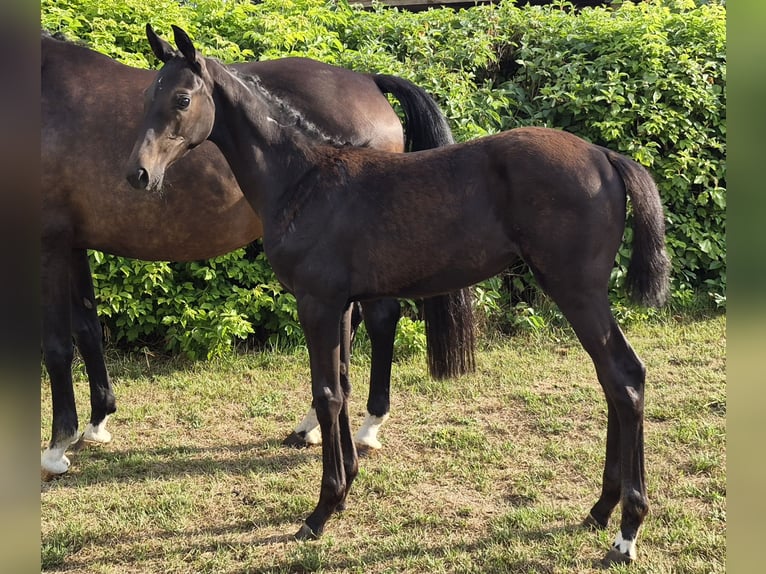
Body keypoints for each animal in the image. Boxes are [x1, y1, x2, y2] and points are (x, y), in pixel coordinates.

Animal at [40, 31, 475, 478]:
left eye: (182, 100)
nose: (137, 173)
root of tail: (369, 81)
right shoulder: (73, 244)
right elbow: (88, 330)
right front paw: (96, 422)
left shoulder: (47, 242)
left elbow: (57, 346)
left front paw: (57, 447)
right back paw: (313, 426)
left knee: (380, 319)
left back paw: (367, 426)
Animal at [126, 25, 670, 566]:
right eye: (148, 95)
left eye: (182, 98)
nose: (137, 174)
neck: (303, 178)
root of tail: (605, 156)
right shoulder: (342, 303)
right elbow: (343, 385)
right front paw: (346, 488)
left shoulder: (316, 302)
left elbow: (326, 393)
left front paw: (321, 511)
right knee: (612, 379)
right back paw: (600, 510)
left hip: (576, 288)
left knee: (623, 376)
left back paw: (626, 532)